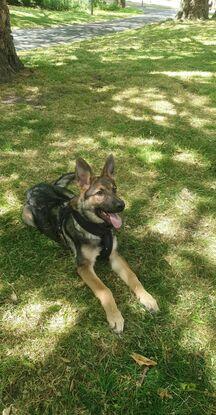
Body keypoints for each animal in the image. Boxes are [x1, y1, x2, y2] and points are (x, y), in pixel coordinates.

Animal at [22, 156, 159, 334]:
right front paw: (115, 317)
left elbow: (133, 277)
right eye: (100, 193)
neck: (99, 230)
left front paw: (147, 298)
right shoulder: (84, 267)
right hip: (27, 217)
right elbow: (105, 290)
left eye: (115, 189)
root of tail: (37, 187)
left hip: (70, 196)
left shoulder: (114, 256)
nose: (122, 205)